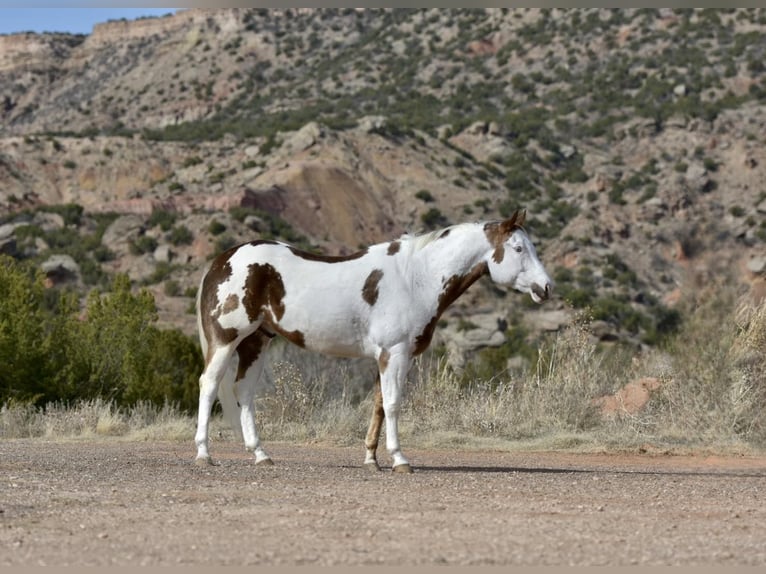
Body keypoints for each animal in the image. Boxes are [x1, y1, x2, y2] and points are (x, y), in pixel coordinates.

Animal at [192, 209, 552, 474]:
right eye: (519, 249)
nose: (546, 287)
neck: (415, 278)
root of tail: (223, 260)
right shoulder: (396, 353)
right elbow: (392, 404)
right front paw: (400, 460)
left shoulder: (385, 356)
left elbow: (378, 405)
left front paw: (371, 459)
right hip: (226, 339)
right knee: (209, 384)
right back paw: (204, 454)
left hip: (257, 341)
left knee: (243, 391)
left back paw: (260, 454)